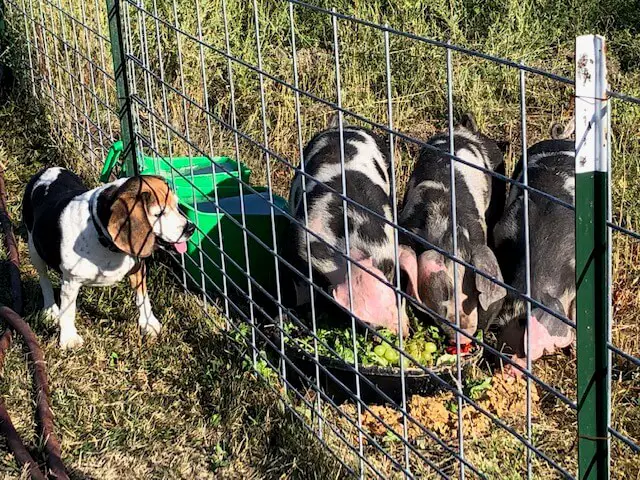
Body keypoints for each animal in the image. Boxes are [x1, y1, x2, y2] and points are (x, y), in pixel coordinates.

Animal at [23, 169, 195, 348]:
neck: (103, 238)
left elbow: (143, 298)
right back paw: (50, 309)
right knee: (44, 279)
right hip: (34, 249)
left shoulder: (138, 268)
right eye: (159, 213)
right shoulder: (71, 281)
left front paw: (148, 323)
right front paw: (69, 339)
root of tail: (49, 169)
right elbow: (68, 311)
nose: (191, 228)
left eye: (176, 205)